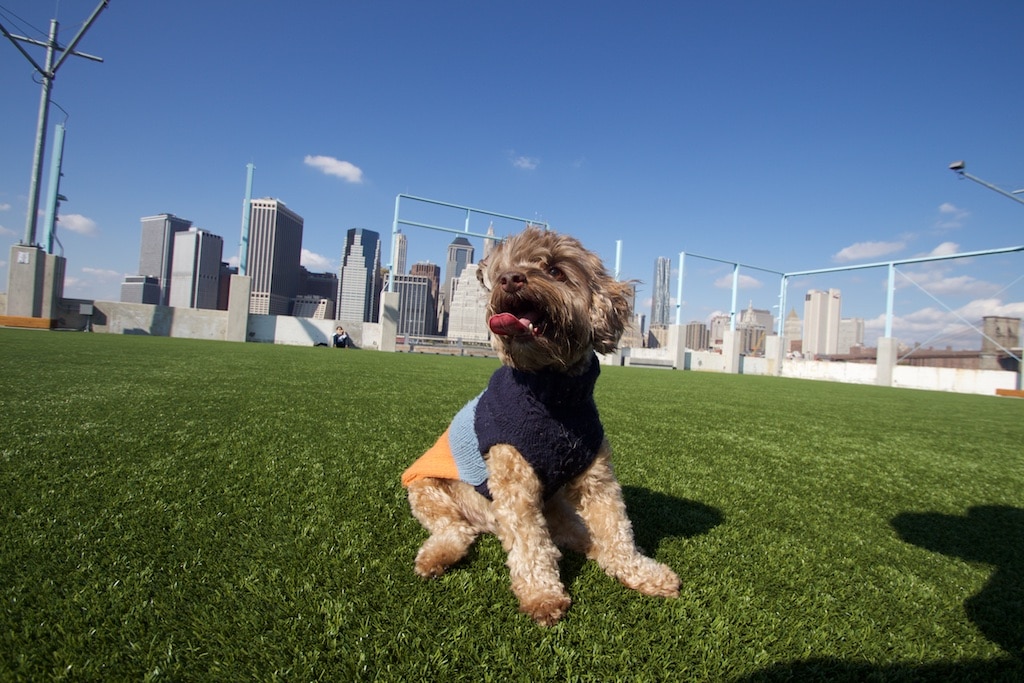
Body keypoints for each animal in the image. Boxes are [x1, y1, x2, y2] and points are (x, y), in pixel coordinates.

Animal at [399, 227, 679, 626]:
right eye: (503, 270)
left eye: (556, 270)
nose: (510, 279)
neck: (553, 395)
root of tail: (487, 523)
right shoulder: (514, 482)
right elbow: (531, 545)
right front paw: (542, 595)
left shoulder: (597, 479)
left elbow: (617, 529)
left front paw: (640, 571)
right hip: (425, 489)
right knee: (457, 530)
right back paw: (436, 557)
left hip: (556, 508)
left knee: (584, 536)